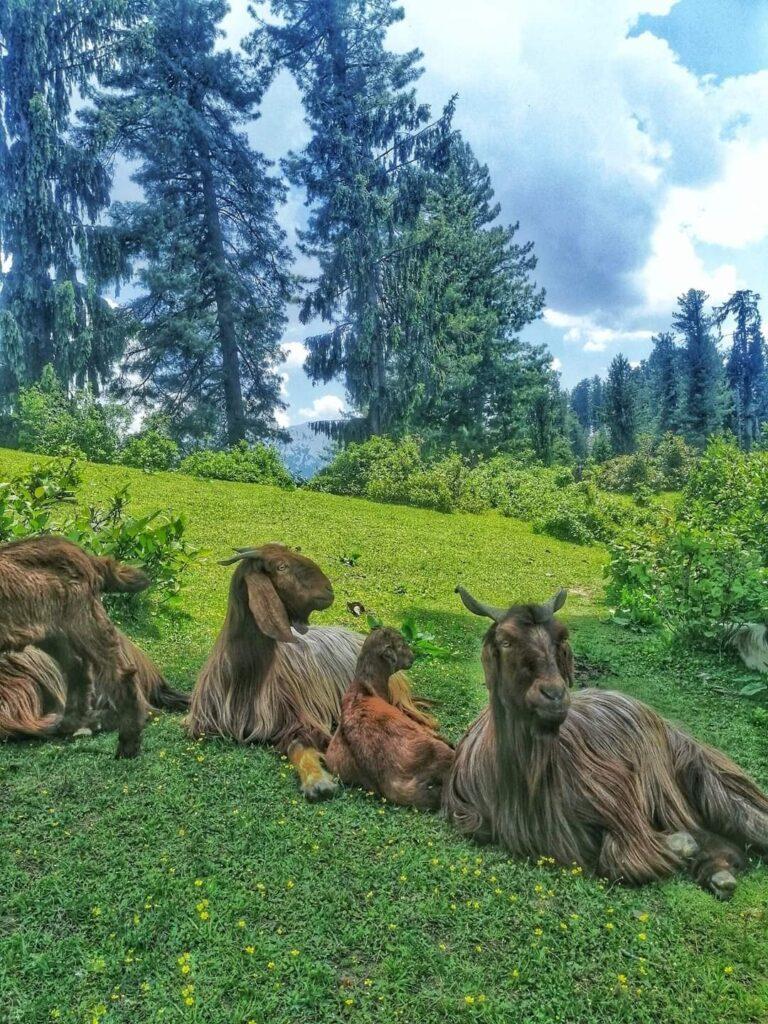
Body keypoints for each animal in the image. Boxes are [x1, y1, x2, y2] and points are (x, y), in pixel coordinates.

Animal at [0, 532, 151, 757]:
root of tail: (87, 557)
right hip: (54, 633)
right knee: (78, 667)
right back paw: (72, 723)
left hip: (83, 621)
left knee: (119, 673)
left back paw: (128, 743)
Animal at [186, 544, 434, 798]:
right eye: (281, 566)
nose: (328, 590)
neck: (245, 679)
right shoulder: (201, 727)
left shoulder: (300, 719)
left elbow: (298, 745)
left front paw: (318, 782)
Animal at [442, 585, 768, 897]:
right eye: (506, 641)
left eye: (559, 639)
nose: (554, 695)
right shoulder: (471, 817)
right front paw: (688, 848)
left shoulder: (619, 798)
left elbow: (621, 858)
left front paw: (680, 845)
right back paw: (718, 873)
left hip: (703, 775)